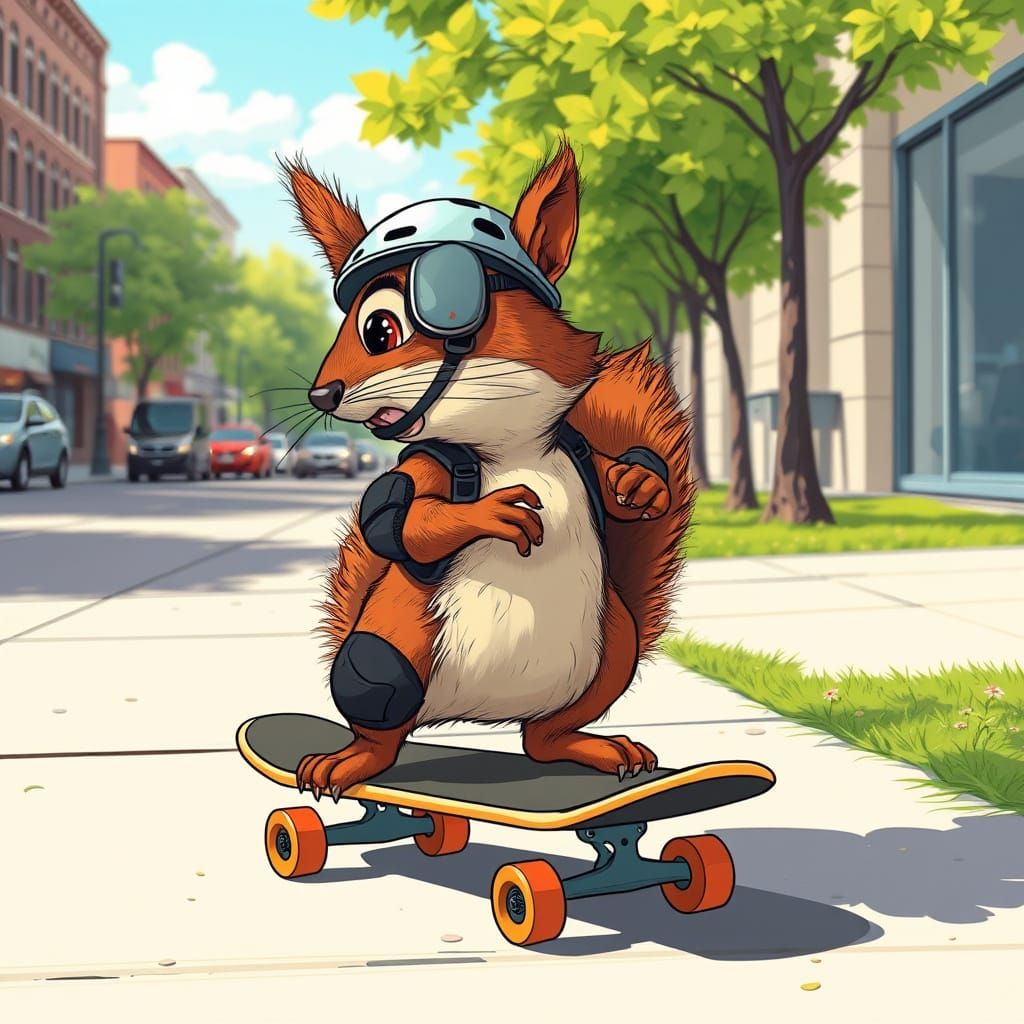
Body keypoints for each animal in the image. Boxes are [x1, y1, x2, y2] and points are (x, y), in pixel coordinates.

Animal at [281, 141, 694, 802]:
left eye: (379, 329)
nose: (322, 393)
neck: (512, 447)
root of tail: (477, 714)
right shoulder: (426, 465)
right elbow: (394, 521)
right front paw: (491, 513)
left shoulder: (574, 452)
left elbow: (612, 481)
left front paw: (640, 482)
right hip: (383, 655)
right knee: (382, 724)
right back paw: (351, 762)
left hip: (613, 651)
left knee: (542, 739)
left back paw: (598, 749)